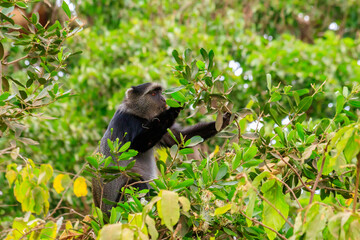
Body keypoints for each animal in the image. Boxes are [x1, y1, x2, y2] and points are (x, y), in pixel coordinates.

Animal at [91, 83, 229, 214]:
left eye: (160, 92)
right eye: (153, 93)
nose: (163, 99)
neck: (138, 113)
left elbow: (180, 139)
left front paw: (226, 119)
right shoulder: (126, 121)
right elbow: (136, 147)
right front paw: (173, 109)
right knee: (134, 181)